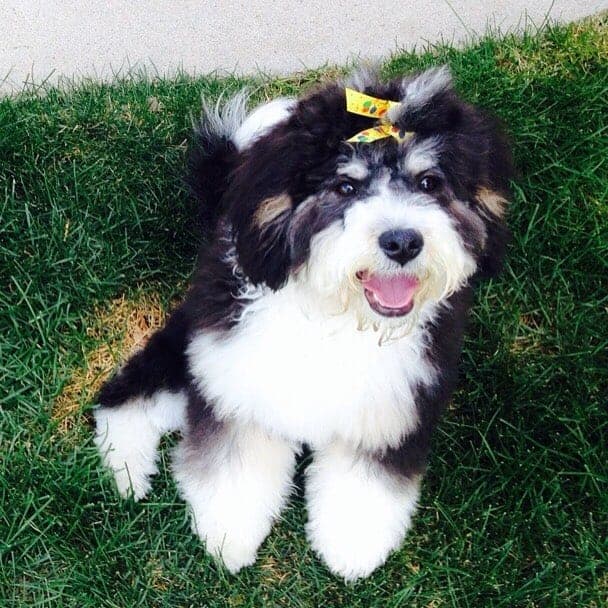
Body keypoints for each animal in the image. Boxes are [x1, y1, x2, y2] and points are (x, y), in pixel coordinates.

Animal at [94, 66, 512, 580]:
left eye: (430, 182)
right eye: (346, 187)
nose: (402, 242)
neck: (339, 319)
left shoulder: (390, 409)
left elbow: (364, 484)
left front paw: (350, 548)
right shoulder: (239, 392)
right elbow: (233, 469)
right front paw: (228, 537)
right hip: (191, 349)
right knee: (126, 397)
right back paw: (127, 470)